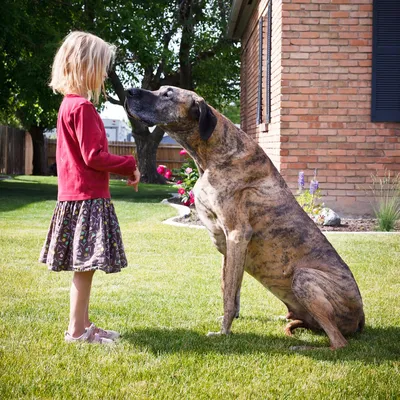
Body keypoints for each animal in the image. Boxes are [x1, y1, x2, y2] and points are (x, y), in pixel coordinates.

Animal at [126, 86, 366, 348]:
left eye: (168, 94)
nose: (129, 92)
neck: (213, 153)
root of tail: (361, 319)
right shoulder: (227, 244)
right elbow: (230, 287)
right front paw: (230, 320)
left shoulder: (237, 234)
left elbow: (229, 294)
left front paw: (223, 332)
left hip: (304, 277)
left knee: (339, 343)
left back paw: (303, 345)